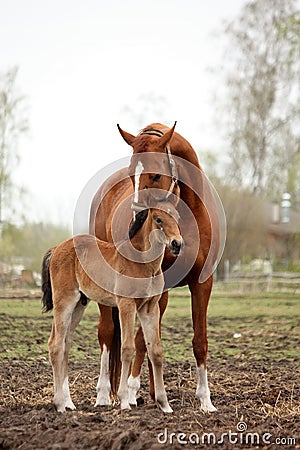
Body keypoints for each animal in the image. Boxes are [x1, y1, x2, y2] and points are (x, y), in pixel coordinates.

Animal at [88, 122, 224, 412]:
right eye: (132, 174)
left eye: (156, 176)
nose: (138, 218)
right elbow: (140, 340)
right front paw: (130, 390)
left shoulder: (201, 284)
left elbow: (197, 341)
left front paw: (205, 400)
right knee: (106, 332)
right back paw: (105, 394)